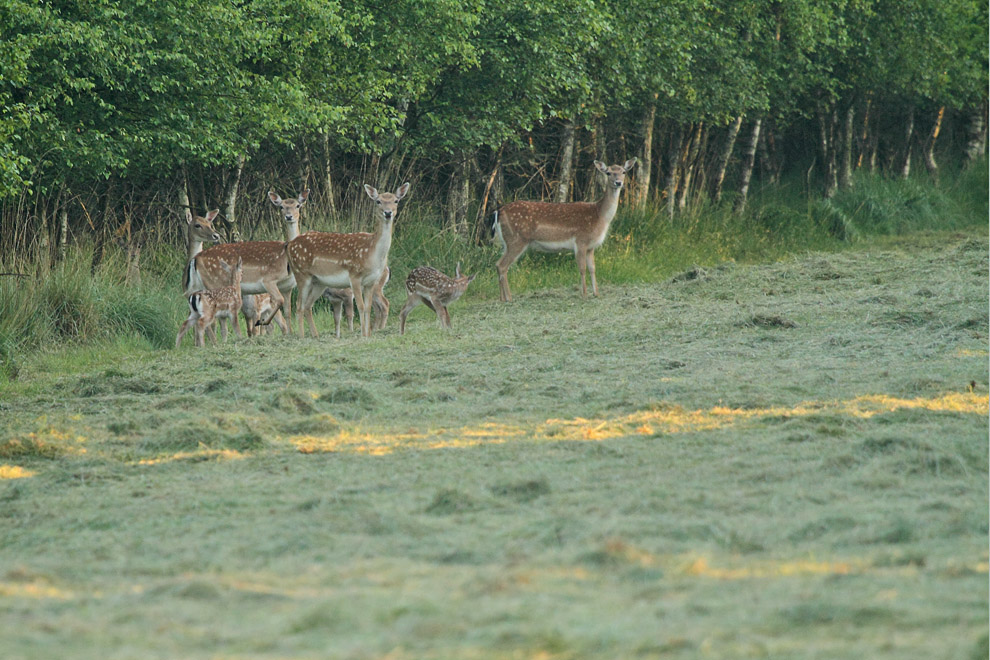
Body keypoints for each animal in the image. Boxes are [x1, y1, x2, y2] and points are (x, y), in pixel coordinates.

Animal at [286, 183, 410, 338]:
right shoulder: (354, 276)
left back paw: (315, 336)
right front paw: (363, 335)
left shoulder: (371, 282)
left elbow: (368, 308)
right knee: (299, 305)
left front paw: (368, 334)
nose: (388, 213)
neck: (372, 253)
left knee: (308, 305)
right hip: (301, 274)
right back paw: (302, 337)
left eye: (396, 201)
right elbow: (361, 307)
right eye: (378, 201)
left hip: (319, 282)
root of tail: (290, 245)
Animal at [496, 160, 644, 302]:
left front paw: (596, 293)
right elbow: (582, 269)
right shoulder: (581, 241)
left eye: (623, 172)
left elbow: (592, 268)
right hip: (517, 240)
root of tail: (499, 212)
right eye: (608, 173)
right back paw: (509, 298)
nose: (618, 182)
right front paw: (584, 294)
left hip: (507, 242)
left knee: (498, 264)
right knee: (502, 265)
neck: (599, 216)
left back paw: (502, 298)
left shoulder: (591, 246)